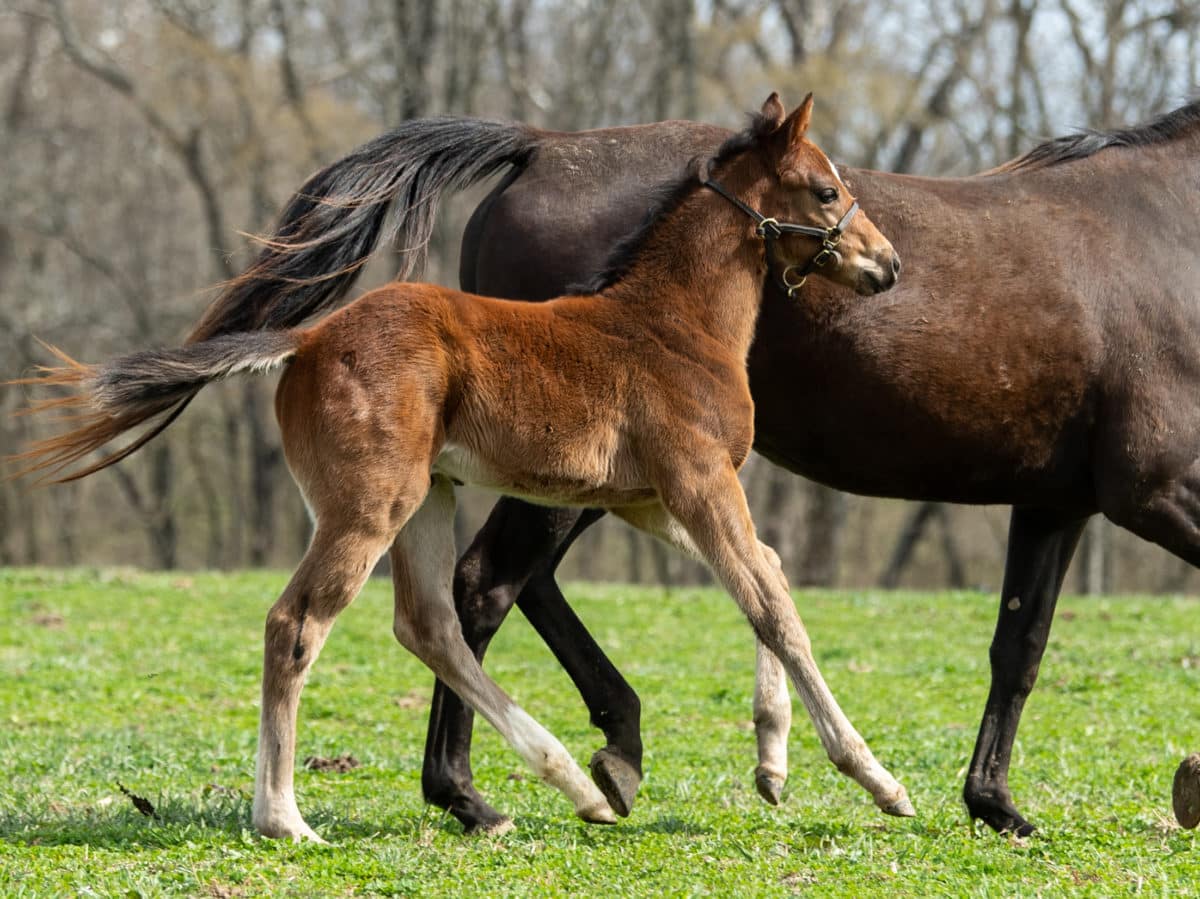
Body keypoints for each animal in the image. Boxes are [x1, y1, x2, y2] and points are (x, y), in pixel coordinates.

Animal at [11, 94, 907, 840]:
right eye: (826, 191)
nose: (888, 264)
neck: (672, 323)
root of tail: (307, 339)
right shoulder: (697, 481)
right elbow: (773, 606)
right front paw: (878, 778)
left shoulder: (648, 498)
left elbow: (768, 574)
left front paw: (772, 764)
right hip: (371, 503)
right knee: (297, 623)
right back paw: (285, 818)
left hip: (430, 497)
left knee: (430, 624)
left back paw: (567, 787)